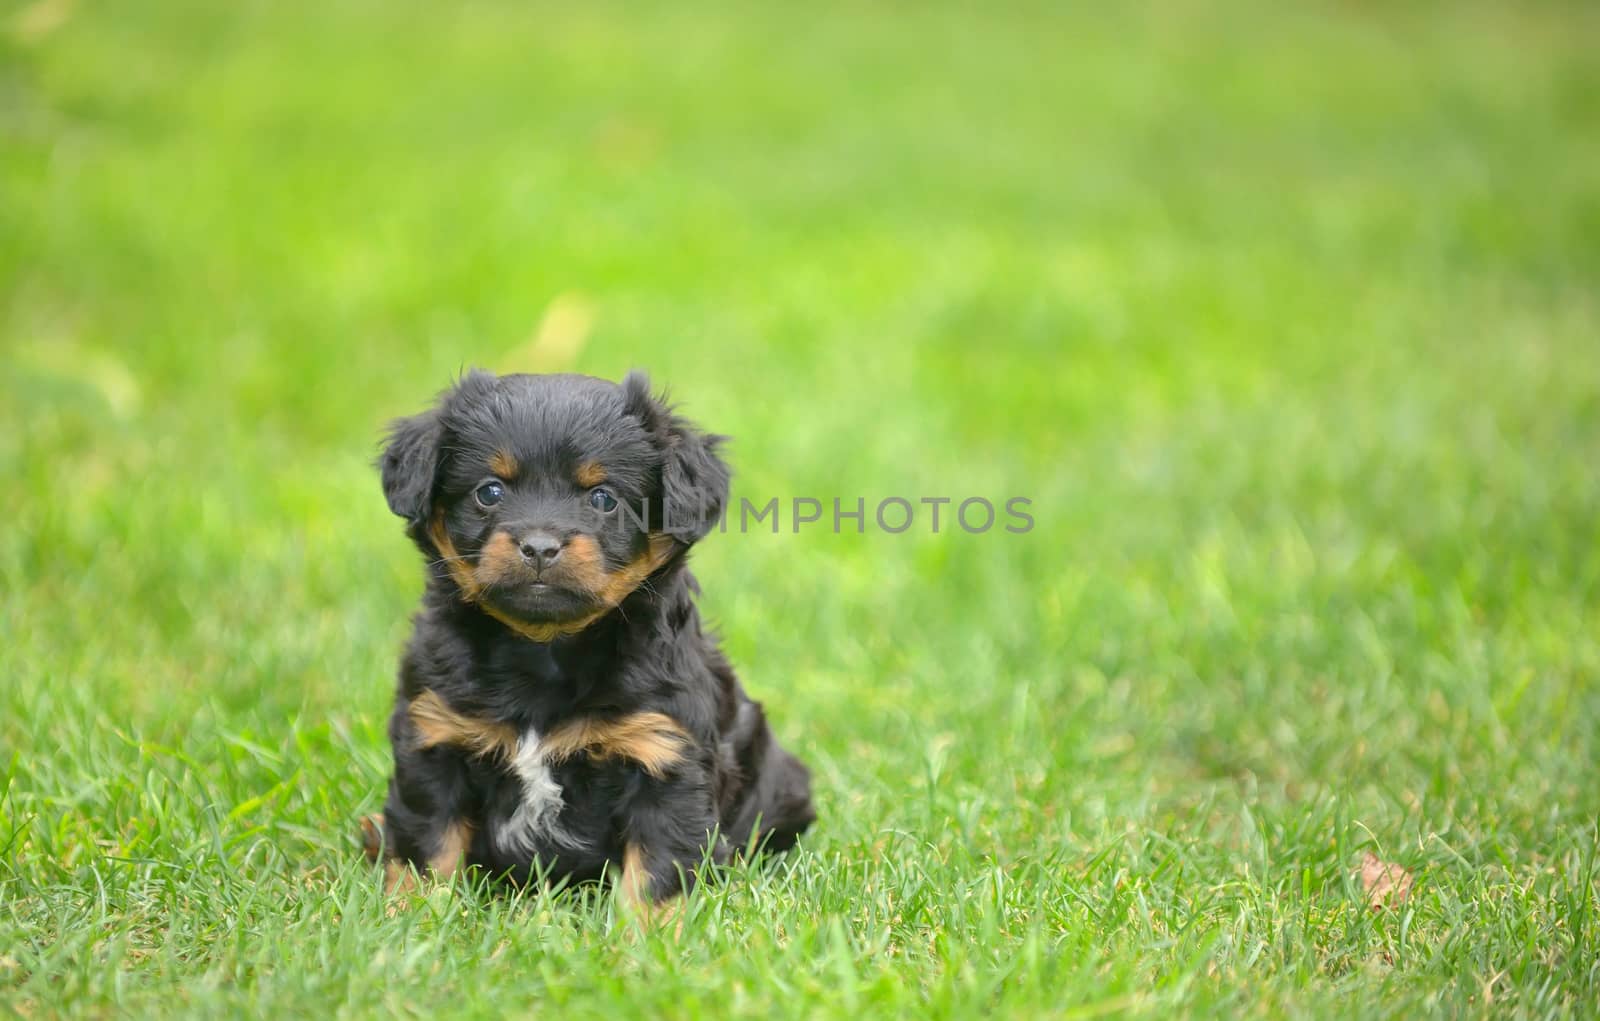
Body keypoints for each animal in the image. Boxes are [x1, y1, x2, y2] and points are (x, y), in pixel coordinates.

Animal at [363, 369, 812, 908]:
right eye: (489, 492)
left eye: (603, 498)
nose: (539, 546)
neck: (545, 648)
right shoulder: (434, 739)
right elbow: (428, 845)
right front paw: (410, 914)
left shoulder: (664, 755)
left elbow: (658, 871)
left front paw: (654, 930)